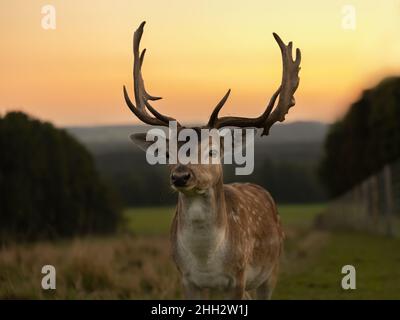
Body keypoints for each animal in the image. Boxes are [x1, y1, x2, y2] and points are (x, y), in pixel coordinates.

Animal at [123, 22, 302, 300]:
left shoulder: (238, 277)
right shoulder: (186, 279)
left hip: (271, 268)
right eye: (168, 154)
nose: (180, 176)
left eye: (213, 151)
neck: (206, 261)